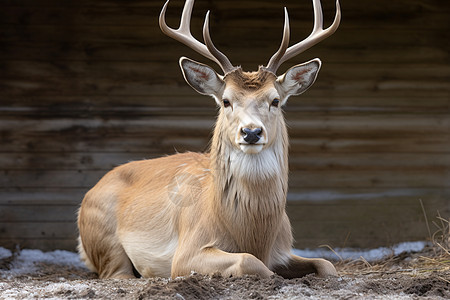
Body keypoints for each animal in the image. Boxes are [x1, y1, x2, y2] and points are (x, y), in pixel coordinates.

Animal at [77, 0, 340, 278]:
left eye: (275, 100)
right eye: (226, 100)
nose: (251, 132)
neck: (255, 236)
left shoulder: (284, 250)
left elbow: (327, 265)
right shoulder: (188, 250)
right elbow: (249, 261)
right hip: (104, 237)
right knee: (117, 273)